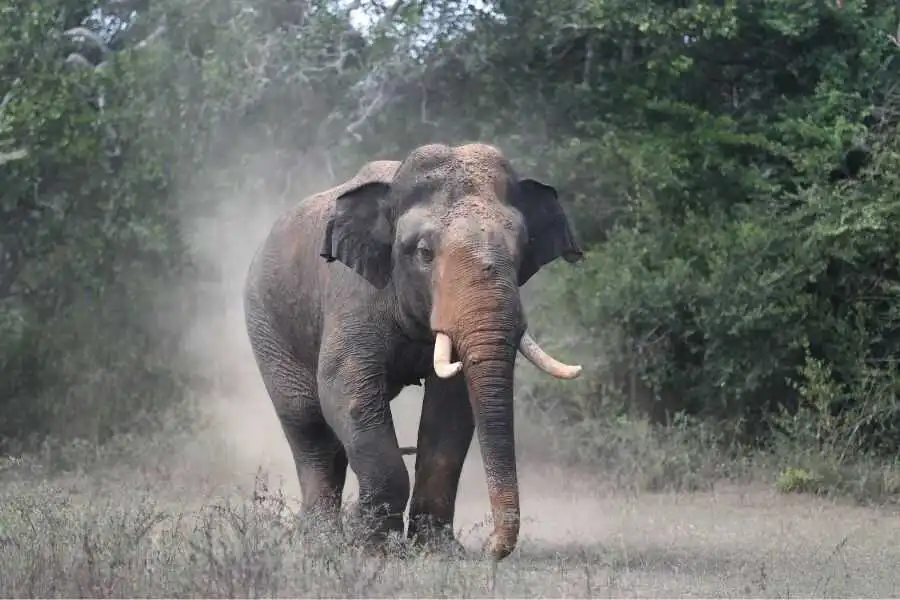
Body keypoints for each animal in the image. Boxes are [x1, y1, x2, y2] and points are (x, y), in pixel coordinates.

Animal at [242, 142, 583, 561]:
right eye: (424, 252)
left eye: (523, 250)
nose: (491, 548)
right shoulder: (353, 294)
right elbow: (345, 389)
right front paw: (372, 547)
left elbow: (451, 408)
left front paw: (437, 551)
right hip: (267, 323)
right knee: (307, 423)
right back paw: (319, 541)